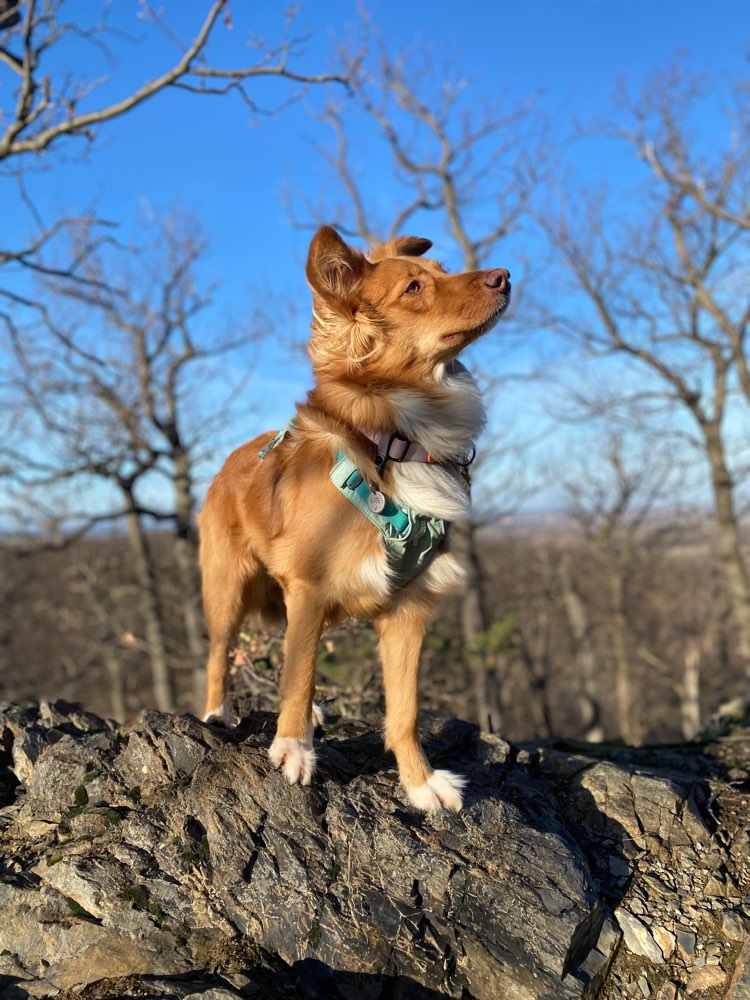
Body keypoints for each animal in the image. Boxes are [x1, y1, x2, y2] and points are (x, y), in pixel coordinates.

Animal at [198, 229, 512, 812]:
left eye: (441, 269)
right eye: (414, 287)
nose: (504, 276)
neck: (398, 440)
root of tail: (231, 458)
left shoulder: (411, 605)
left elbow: (404, 711)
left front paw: (420, 782)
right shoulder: (308, 586)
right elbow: (299, 673)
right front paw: (293, 748)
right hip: (226, 585)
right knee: (219, 653)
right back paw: (218, 712)